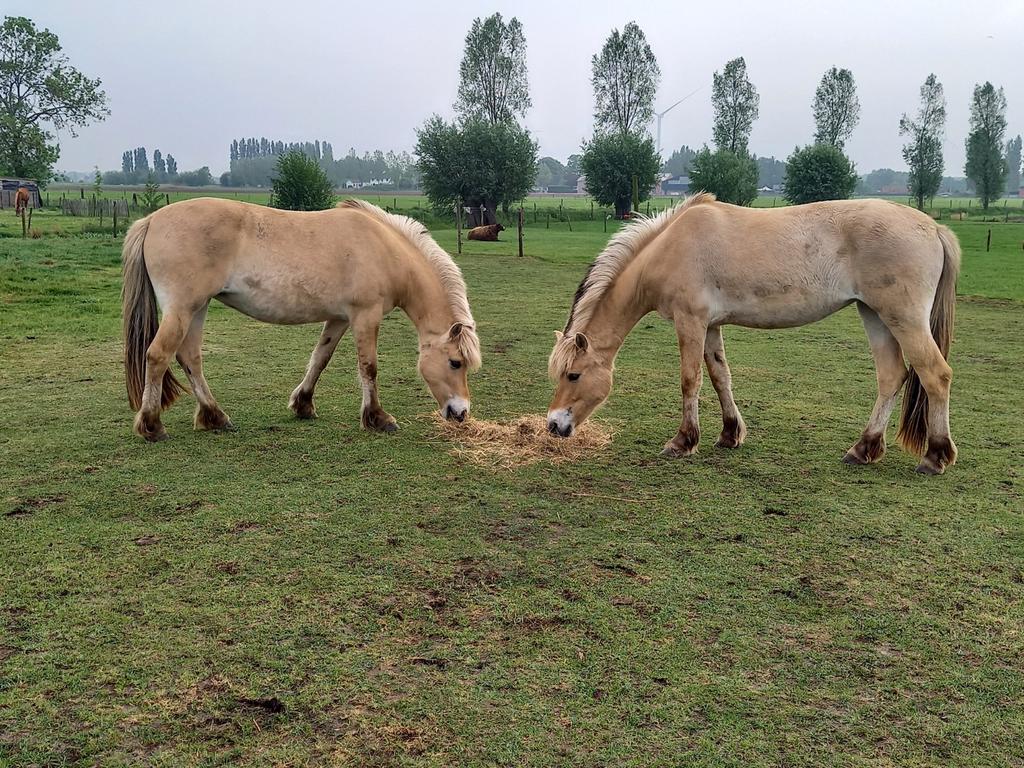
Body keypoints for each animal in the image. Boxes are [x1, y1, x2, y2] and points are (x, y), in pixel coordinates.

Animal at [122, 198, 481, 442]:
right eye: (455, 362)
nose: (461, 413)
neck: (384, 250)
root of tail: (151, 220)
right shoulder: (365, 315)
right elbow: (369, 367)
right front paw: (377, 418)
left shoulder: (339, 319)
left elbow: (320, 358)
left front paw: (303, 405)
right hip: (183, 308)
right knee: (158, 356)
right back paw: (152, 425)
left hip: (197, 308)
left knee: (190, 358)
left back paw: (215, 416)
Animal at [546, 193, 961, 475]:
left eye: (574, 375)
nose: (553, 425)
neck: (669, 247)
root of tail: (933, 228)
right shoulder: (711, 325)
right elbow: (720, 377)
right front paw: (730, 434)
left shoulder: (690, 321)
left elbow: (690, 380)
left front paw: (683, 441)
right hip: (874, 315)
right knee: (891, 376)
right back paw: (864, 449)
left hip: (902, 318)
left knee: (935, 375)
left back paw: (935, 456)